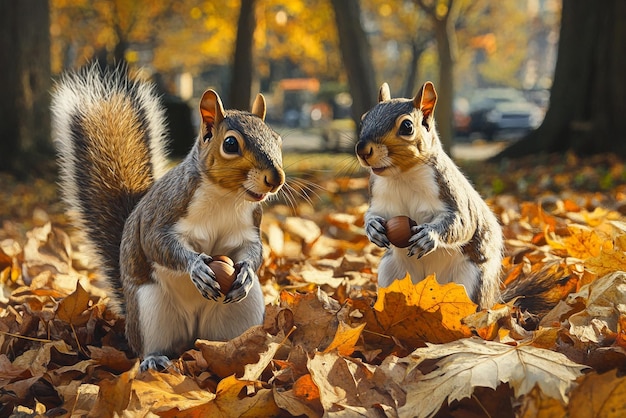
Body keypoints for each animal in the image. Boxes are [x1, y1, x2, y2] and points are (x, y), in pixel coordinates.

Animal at [52, 65, 284, 370]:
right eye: (231, 143)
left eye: (278, 139)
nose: (276, 179)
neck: (226, 198)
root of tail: (192, 334)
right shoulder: (164, 212)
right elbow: (157, 243)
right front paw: (196, 267)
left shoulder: (249, 227)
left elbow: (253, 250)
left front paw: (245, 271)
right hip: (150, 309)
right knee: (151, 344)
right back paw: (154, 360)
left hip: (241, 310)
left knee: (223, 341)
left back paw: (240, 353)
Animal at [356, 82, 502, 310]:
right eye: (364, 118)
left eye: (407, 126)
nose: (362, 149)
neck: (401, 176)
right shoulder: (379, 199)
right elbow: (372, 214)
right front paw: (373, 228)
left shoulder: (449, 191)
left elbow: (463, 222)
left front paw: (429, 235)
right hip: (391, 272)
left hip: (472, 279)